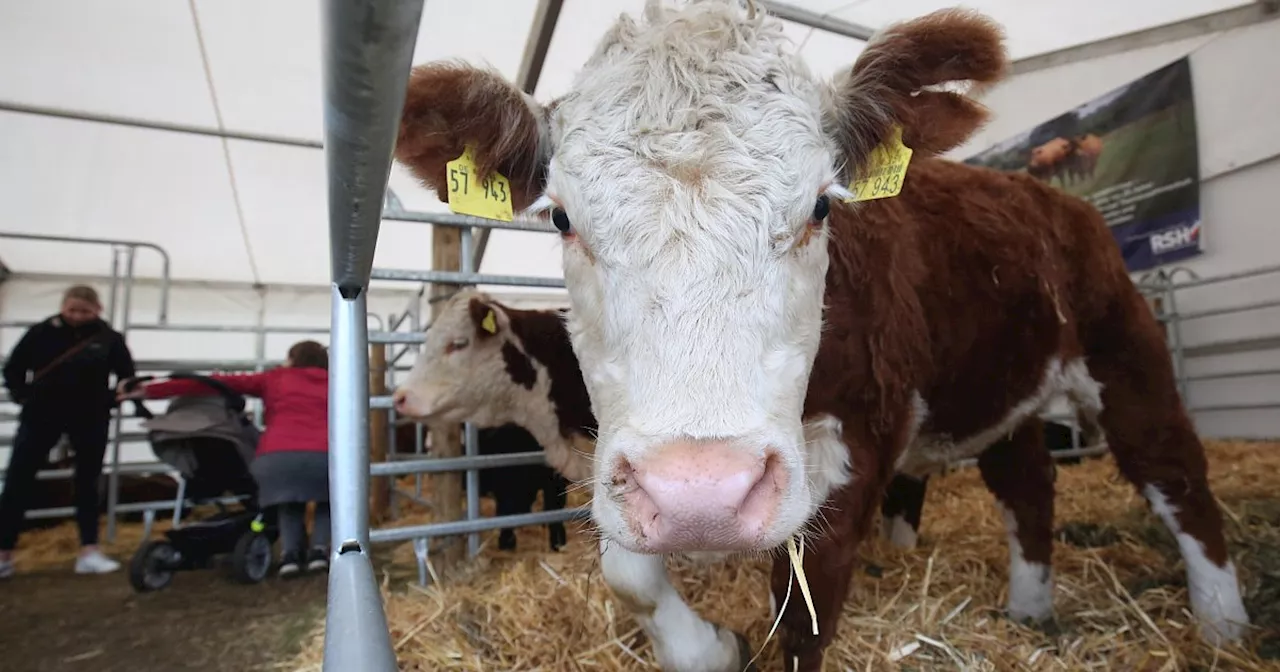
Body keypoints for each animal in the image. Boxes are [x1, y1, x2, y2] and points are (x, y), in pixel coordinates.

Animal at [391, 2, 1249, 665]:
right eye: (563, 219)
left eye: (822, 205)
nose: (702, 495)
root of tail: (1052, 196)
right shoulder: (622, 463)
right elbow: (630, 576)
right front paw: (710, 648)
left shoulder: (854, 448)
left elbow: (803, 622)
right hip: (1001, 389)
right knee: (1028, 487)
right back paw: (1030, 610)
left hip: (1124, 348)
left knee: (1174, 473)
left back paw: (1224, 625)